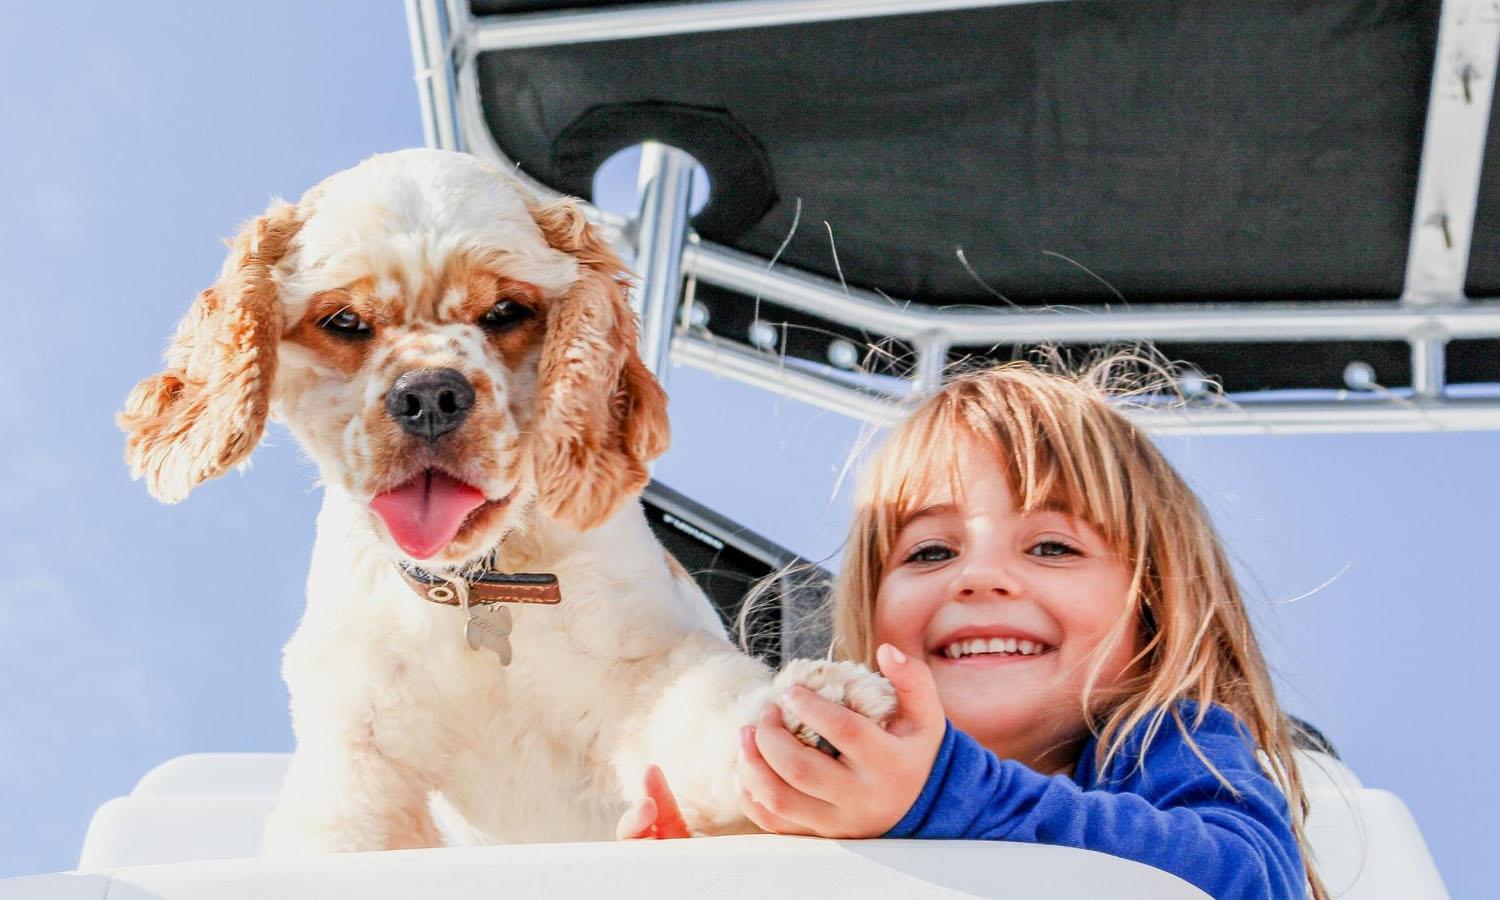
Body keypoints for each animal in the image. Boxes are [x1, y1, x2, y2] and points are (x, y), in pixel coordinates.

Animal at [123, 147, 888, 852]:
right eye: (343, 321)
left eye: (505, 311)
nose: (430, 395)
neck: (474, 586)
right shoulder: (357, 757)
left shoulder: (648, 668)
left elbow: (707, 707)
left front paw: (804, 713)